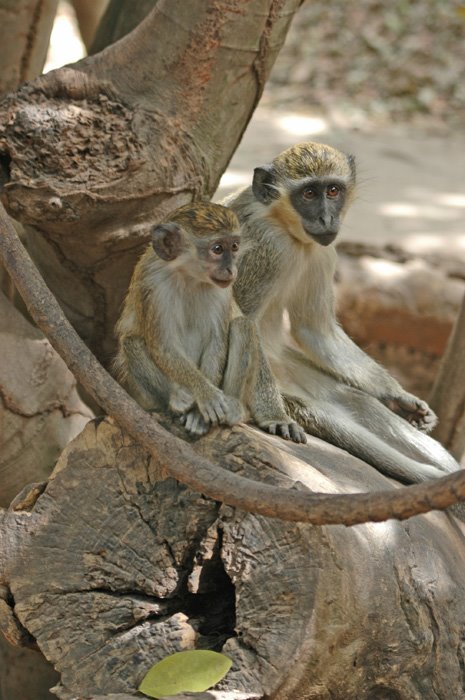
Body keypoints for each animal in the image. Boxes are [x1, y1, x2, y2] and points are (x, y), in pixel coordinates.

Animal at [114, 202, 306, 442]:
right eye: (217, 249)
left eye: (234, 246)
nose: (231, 269)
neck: (189, 277)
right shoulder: (152, 283)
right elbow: (162, 345)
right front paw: (205, 394)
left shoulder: (222, 292)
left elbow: (217, 343)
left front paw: (200, 413)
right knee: (131, 341)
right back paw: (178, 399)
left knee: (243, 326)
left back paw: (234, 408)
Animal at [223, 142, 458, 482]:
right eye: (309, 194)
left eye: (333, 191)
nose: (326, 218)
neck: (284, 227)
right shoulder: (266, 250)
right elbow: (243, 323)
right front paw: (274, 416)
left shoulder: (323, 252)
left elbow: (315, 329)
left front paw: (402, 399)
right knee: (324, 415)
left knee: (360, 402)